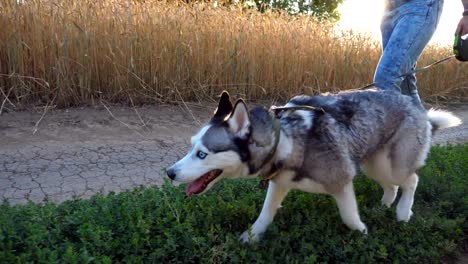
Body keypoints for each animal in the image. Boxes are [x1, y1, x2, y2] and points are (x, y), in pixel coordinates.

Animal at [165, 89, 460, 242]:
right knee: (391, 186)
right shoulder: (279, 183)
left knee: (411, 180)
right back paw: (386, 205)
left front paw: (362, 233)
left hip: (393, 165)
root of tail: (416, 104)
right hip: (374, 165)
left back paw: (402, 212)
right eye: (191, 147)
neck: (284, 138)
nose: (169, 173)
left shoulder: (342, 180)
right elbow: (265, 214)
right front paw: (251, 236)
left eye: (202, 154)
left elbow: (349, 217)